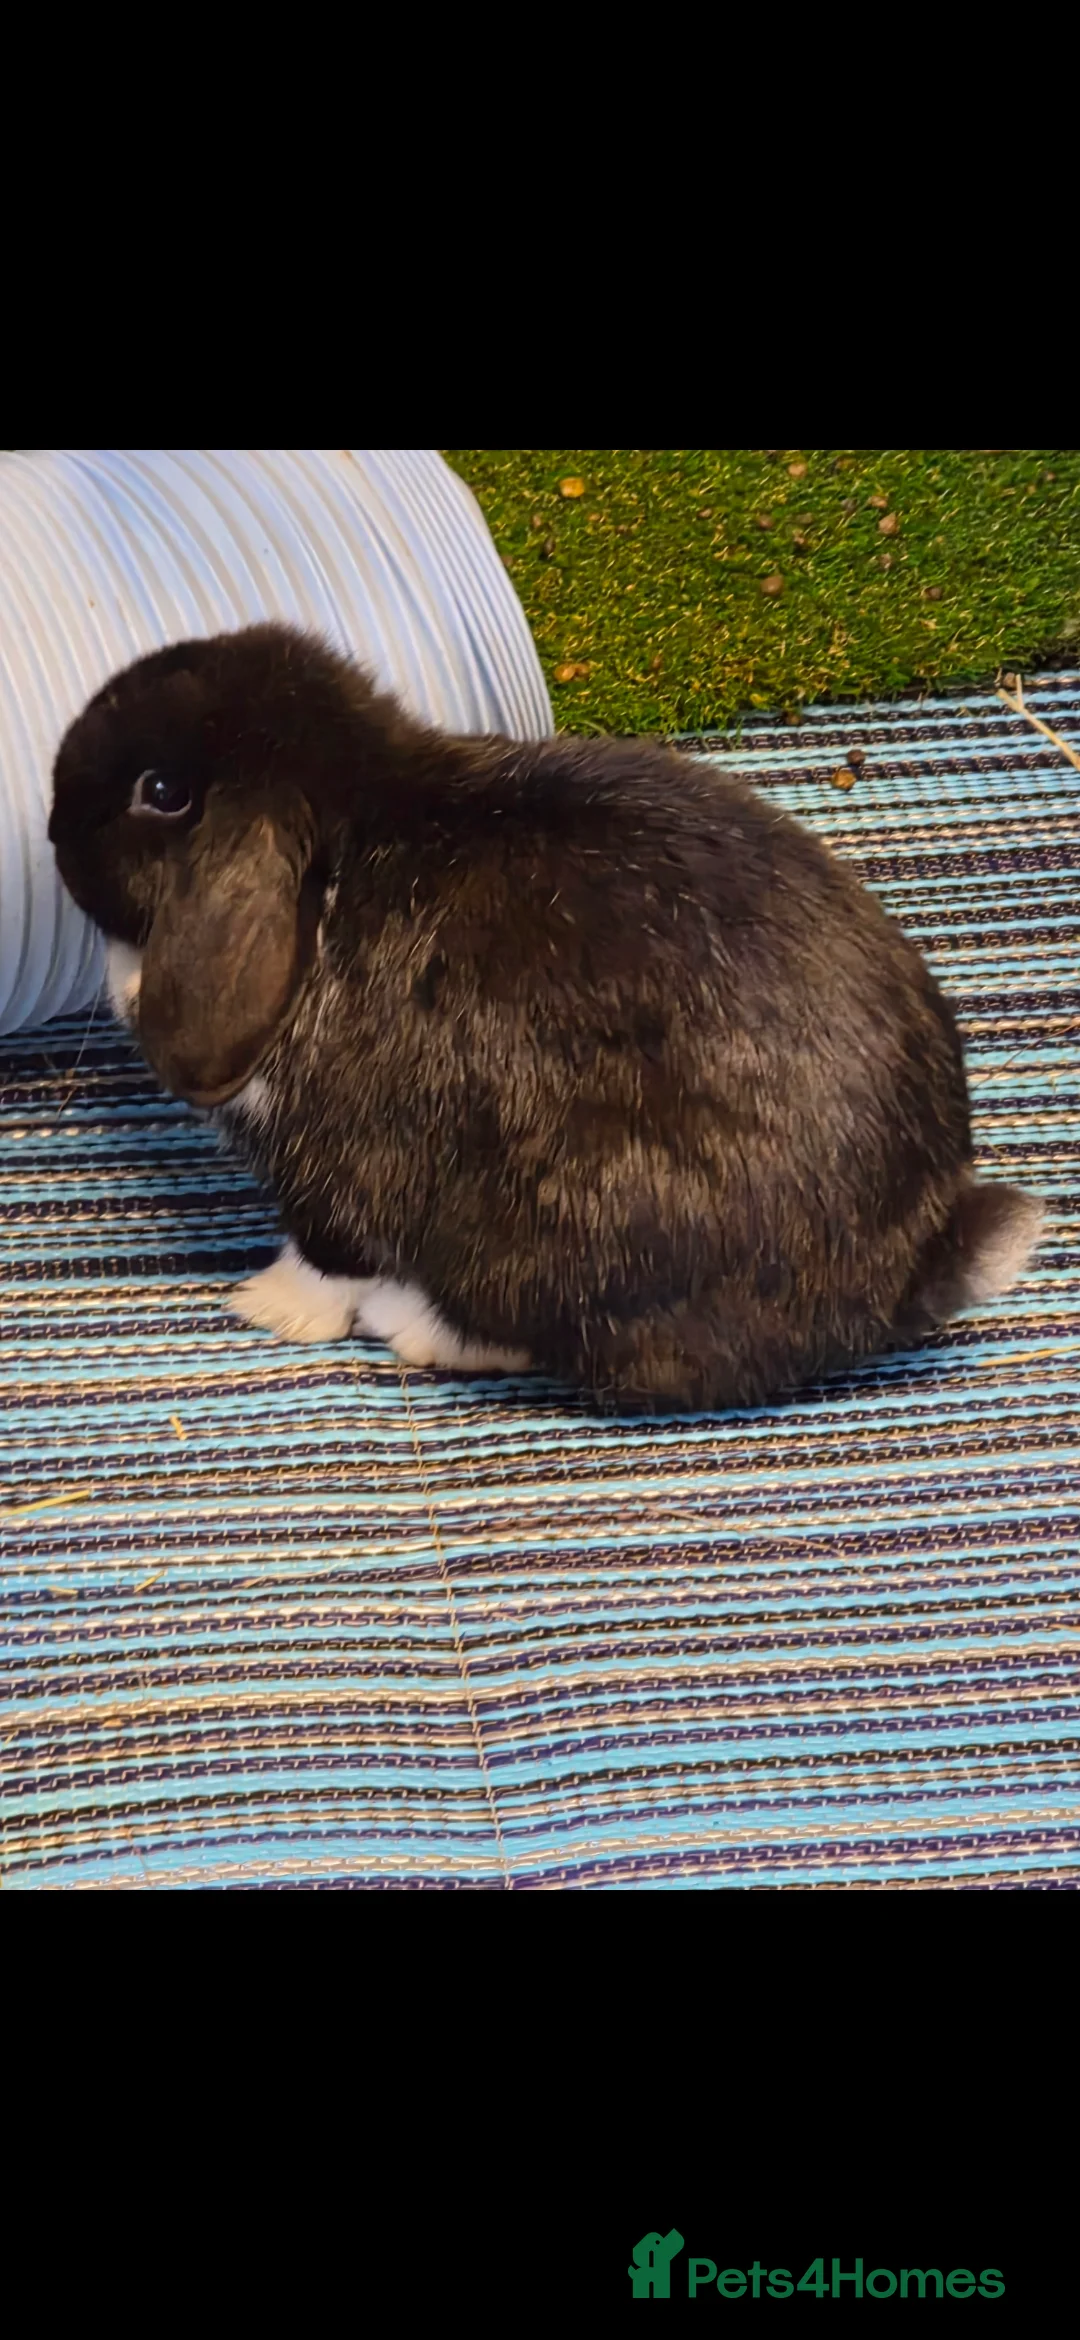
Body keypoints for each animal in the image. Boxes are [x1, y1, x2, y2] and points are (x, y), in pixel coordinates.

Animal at [48, 622, 1044, 1413]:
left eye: (161, 792)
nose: (53, 827)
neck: (343, 865)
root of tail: (907, 1274)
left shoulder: (338, 1170)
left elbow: (327, 1251)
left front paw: (266, 1305)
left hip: (557, 1229)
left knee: (551, 1341)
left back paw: (409, 1324)